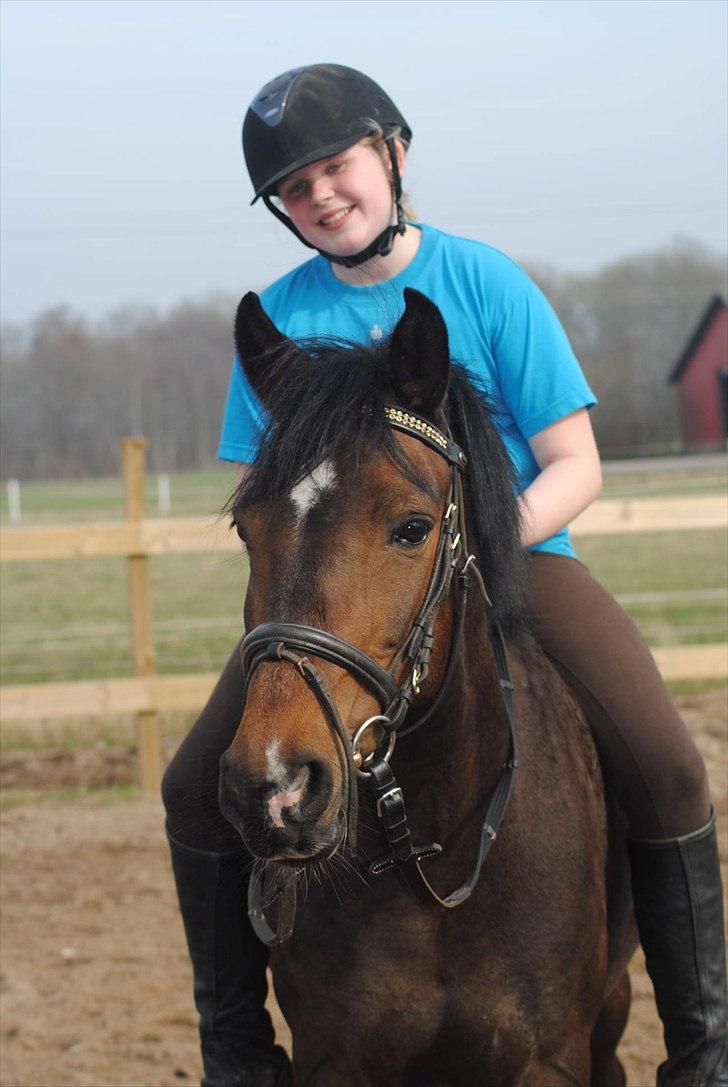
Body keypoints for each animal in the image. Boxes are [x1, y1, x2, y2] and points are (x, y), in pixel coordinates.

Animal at [218, 284, 638, 1082]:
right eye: (245, 530)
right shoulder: (334, 1058)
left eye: (412, 527)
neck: (436, 849)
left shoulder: (550, 1057)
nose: (276, 785)